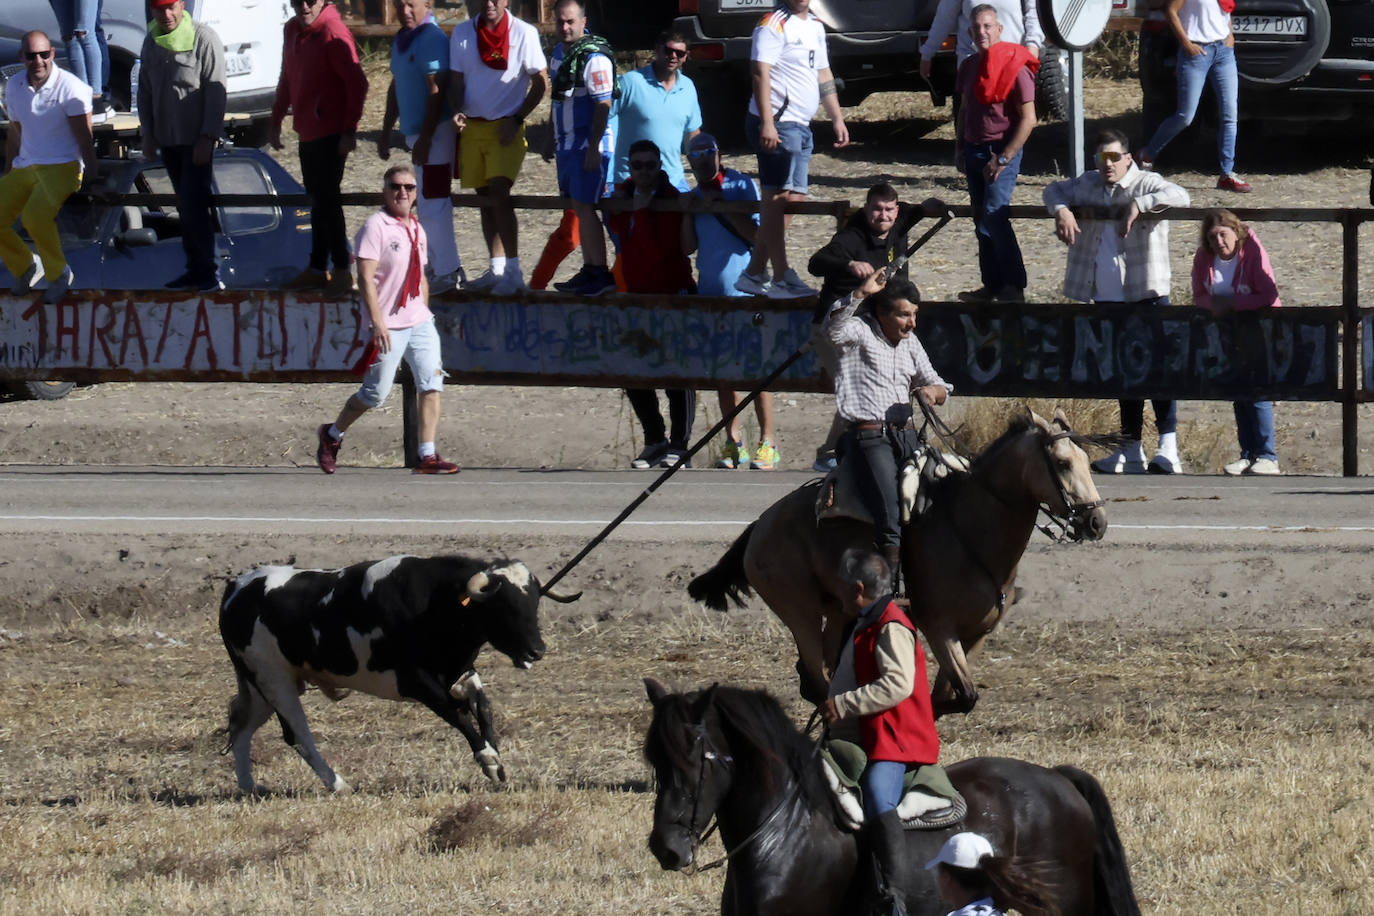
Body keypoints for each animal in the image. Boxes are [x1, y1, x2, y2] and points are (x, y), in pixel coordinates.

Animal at [218, 552, 568, 796]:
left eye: (533, 601)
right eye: (503, 606)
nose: (537, 650)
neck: (436, 602)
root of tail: (235, 588)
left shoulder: (460, 672)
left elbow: (482, 707)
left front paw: (494, 756)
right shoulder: (416, 681)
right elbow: (457, 715)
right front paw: (489, 759)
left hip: (262, 687)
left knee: (241, 726)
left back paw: (249, 786)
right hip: (275, 682)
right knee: (298, 735)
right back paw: (337, 783)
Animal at [687, 409, 1104, 714]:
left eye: (1087, 460)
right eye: (1063, 463)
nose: (1096, 522)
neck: (969, 531)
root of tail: (760, 524)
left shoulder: (977, 634)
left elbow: (950, 696)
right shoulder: (939, 628)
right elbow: (964, 696)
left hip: (837, 611)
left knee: (824, 671)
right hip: (798, 611)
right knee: (817, 679)